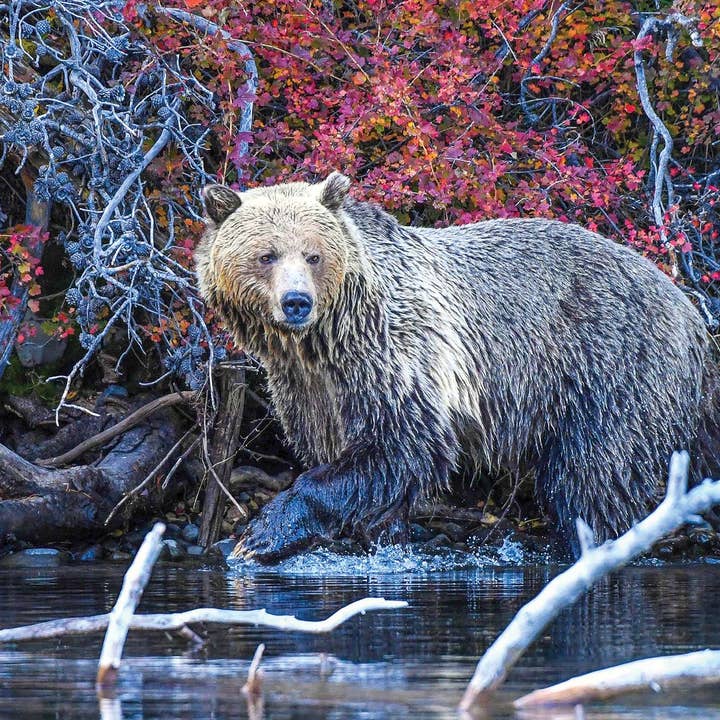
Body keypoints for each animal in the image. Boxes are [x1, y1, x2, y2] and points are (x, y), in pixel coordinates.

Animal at [195, 171, 720, 562]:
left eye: (313, 254)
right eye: (266, 255)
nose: (297, 301)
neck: (325, 341)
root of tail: (689, 309)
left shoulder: (396, 355)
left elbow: (402, 444)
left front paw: (258, 536)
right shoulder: (310, 389)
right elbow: (345, 455)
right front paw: (378, 536)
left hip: (613, 367)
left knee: (591, 476)